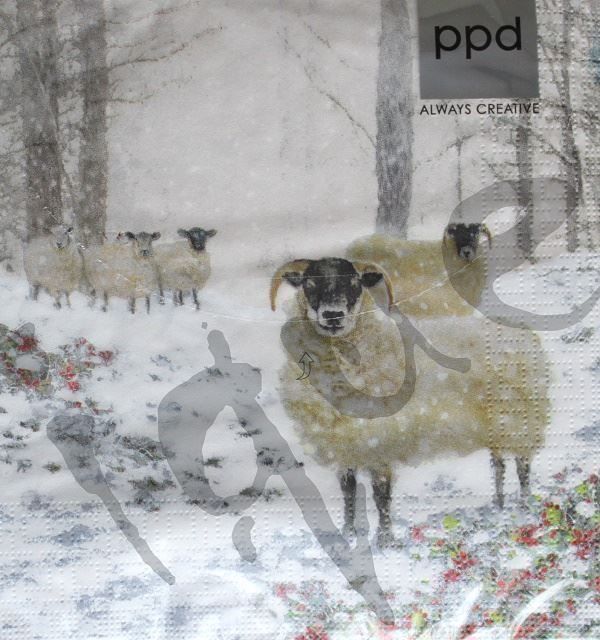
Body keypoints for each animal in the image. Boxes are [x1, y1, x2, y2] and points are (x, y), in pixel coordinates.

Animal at [270, 257, 550, 547]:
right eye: (309, 284)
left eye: (355, 283)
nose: (333, 315)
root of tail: (524, 335)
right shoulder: (345, 444)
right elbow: (348, 492)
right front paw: (348, 534)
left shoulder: (379, 442)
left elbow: (381, 494)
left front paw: (384, 541)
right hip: (496, 424)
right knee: (498, 465)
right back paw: (499, 506)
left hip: (520, 419)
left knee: (522, 466)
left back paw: (524, 507)